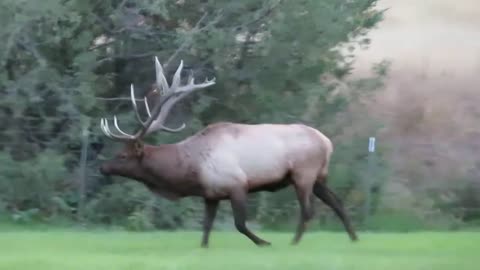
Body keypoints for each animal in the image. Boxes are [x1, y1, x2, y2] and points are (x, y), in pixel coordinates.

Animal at [100, 56, 356, 247]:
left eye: (123, 155)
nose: (103, 167)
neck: (189, 172)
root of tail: (327, 142)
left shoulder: (237, 184)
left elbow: (240, 224)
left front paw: (264, 242)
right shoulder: (210, 194)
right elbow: (206, 227)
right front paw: (203, 247)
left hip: (303, 173)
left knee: (308, 210)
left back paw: (295, 242)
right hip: (319, 176)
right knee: (337, 202)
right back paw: (353, 237)